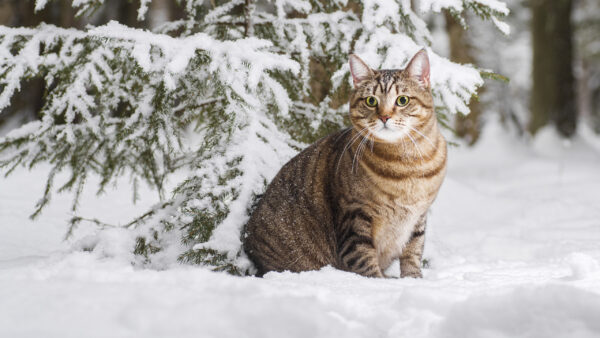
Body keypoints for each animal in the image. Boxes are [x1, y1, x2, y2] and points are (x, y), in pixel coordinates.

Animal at [243, 49, 446, 278]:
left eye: (402, 100)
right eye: (371, 101)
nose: (384, 117)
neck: (408, 164)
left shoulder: (418, 217)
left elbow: (413, 252)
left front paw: (413, 279)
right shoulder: (354, 217)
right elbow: (365, 261)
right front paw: (382, 281)